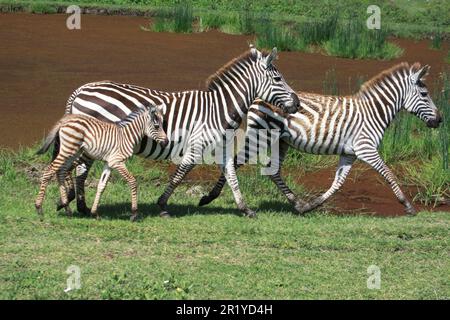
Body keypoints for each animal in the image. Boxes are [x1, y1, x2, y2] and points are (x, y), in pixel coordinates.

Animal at [35, 104, 168, 221]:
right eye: (157, 126)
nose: (166, 143)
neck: (126, 136)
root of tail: (66, 120)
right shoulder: (117, 161)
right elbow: (132, 181)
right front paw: (134, 213)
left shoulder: (109, 163)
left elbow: (101, 186)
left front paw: (95, 213)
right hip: (68, 149)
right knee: (49, 171)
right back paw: (39, 208)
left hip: (74, 152)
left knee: (61, 171)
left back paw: (67, 209)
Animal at [58, 47, 300, 218]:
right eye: (278, 79)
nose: (297, 103)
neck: (218, 109)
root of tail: (81, 89)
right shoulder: (196, 147)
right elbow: (179, 175)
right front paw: (162, 206)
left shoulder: (221, 148)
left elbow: (232, 178)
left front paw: (244, 208)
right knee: (80, 169)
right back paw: (79, 206)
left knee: (80, 168)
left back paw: (79, 205)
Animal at [200, 62, 442, 215]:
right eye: (424, 94)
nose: (439, 120)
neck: (374, 113)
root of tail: (258, 96)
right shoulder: (366, 148)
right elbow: (389, 174)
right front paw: (407, 205)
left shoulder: (349, 153)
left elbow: (338, 183)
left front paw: (312, 206)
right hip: (261, 135)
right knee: (235, 162)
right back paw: (210, 197)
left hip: (281, 141)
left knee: (272, 170)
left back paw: (297, 204)